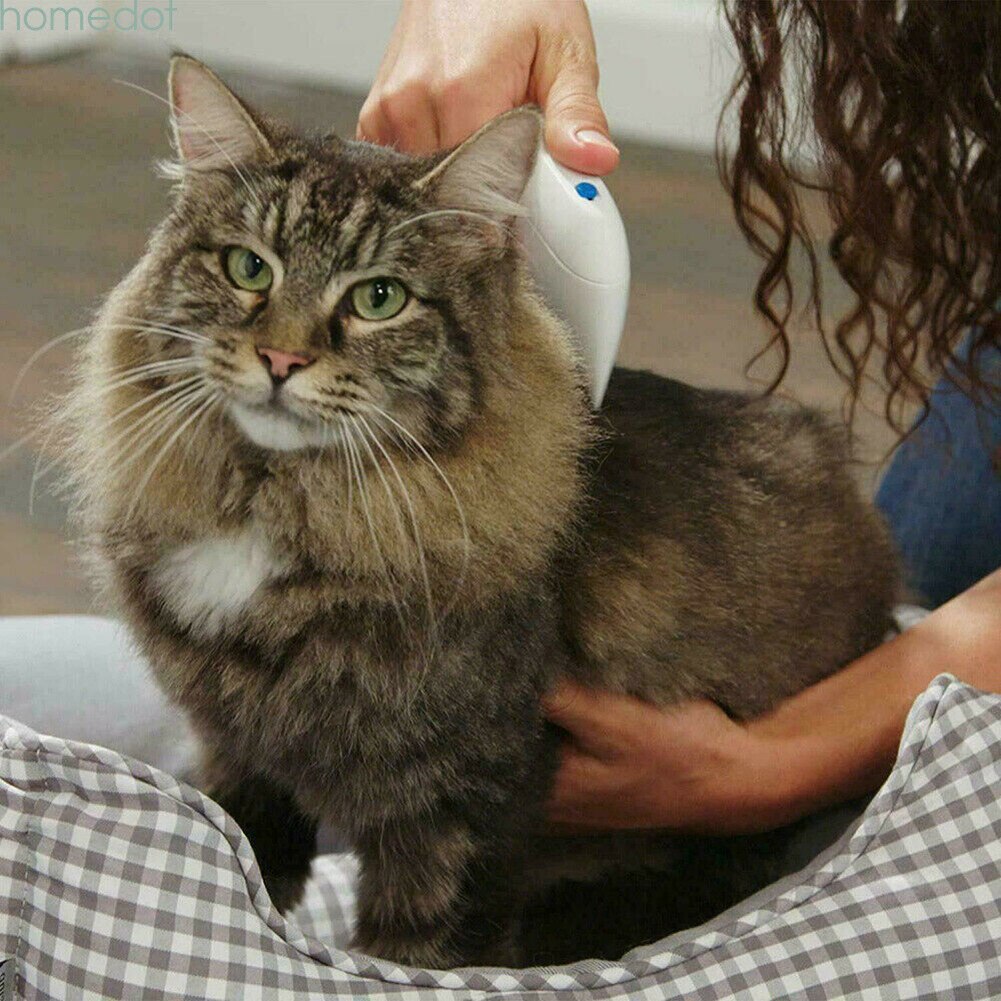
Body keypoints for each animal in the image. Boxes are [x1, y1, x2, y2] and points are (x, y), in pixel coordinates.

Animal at [58, 56, 896, 968]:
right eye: (249, 269)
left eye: (378, 298)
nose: (280, 358)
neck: (283, 507)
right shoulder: (239, 748)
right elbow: (238, 867)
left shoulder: (459, 801)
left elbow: (412, 950)